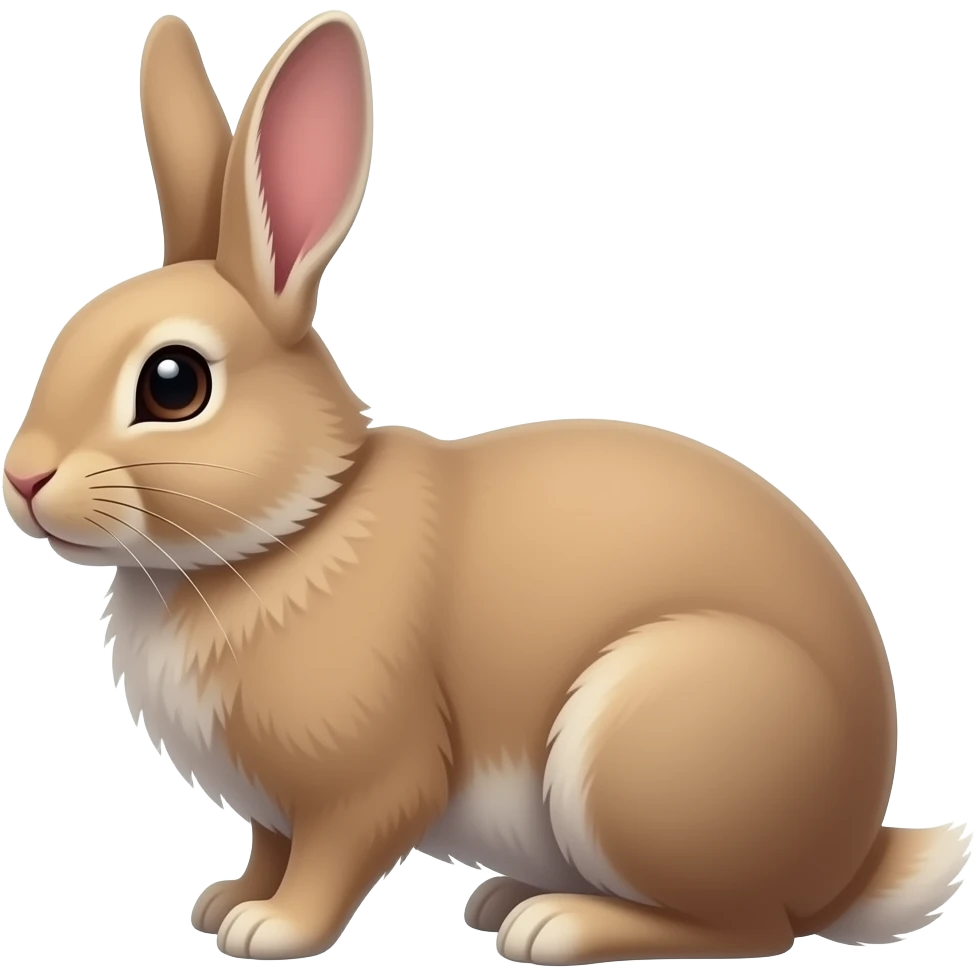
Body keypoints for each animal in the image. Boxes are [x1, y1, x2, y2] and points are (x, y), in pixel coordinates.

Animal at [2, 10, 970, 966]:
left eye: (174, 384)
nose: (23, 477)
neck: (300, 525)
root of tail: (851, 857)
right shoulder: (272, 806)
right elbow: (270, 848)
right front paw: (227, 901)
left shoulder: (365, 776)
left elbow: (333, 855)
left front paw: (272, 930)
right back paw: (508, 896)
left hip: (647, 746)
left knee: (751, 927)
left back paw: (556, 924)